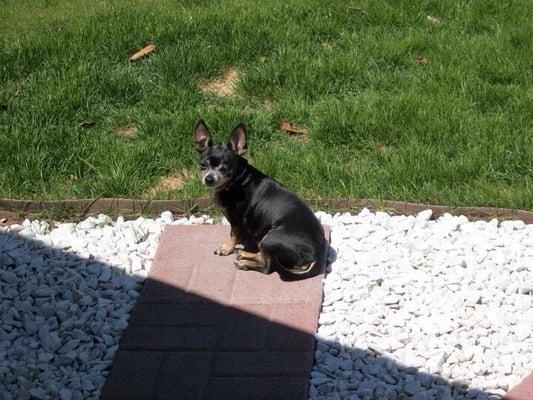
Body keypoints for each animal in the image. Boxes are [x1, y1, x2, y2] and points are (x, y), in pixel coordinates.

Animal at [192, 119, 324, 278]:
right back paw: (245, 254)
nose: (209, 178)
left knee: (267, 267)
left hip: (270, 238)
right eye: (203, 165)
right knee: (263, 255)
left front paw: (227, 248)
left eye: (224, 169)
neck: (237, 180)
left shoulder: (236, 220)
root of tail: (315, 257)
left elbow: (233, 234)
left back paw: (245, 262)